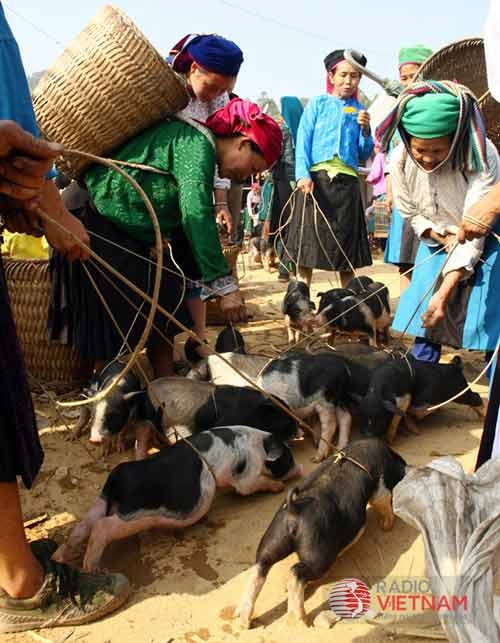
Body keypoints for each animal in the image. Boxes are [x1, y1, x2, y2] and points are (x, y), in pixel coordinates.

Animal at [55, 428, 304, 572]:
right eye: (286, 457)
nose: (300, 469)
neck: (258, 445)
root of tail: (118, 478)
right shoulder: (245, 477)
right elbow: (251, 486)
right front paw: (279, 487)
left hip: (101, 501)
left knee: (82, 526)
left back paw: (58, 558)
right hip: (132, 515)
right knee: (101, 528)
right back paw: (90, 569)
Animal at [236, 438, 408, 628]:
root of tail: (294, 509)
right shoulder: (380, 488)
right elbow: (383, 503)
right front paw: (388, 526)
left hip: (273, 539)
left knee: (260, 567)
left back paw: (243, 621)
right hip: (318, 554)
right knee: (296, 572)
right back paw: (302, 621)